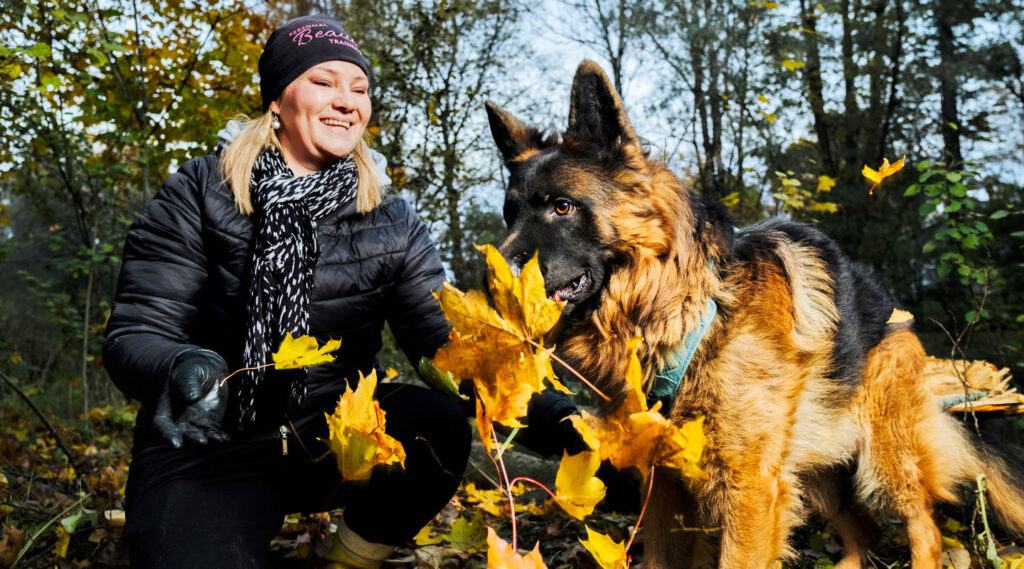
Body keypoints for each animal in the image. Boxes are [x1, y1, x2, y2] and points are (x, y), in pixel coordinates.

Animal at [485, 60, 1024, 564]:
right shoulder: (666, 488)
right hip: (815, 475)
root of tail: (894, 310)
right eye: (510, 216)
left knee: (923, 528)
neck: (685, 313)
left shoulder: (749, 489)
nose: (491, 280)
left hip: (885, 460)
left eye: (561, 207)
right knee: (863, 533)